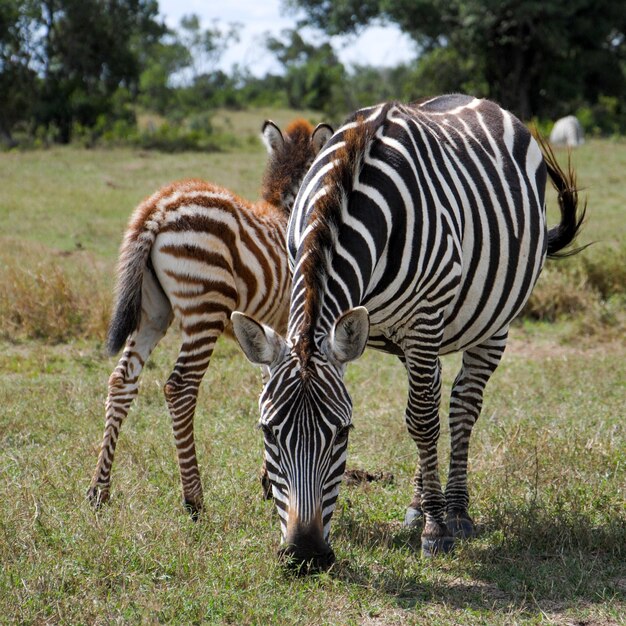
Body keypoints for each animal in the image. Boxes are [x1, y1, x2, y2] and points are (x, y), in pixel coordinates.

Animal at [88, 118, 334, 516]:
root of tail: (158, 206)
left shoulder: (270, 329)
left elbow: (268, 388)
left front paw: (269, 481)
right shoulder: (288, 324)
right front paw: (272, 480)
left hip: (152, 311)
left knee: (121, 381)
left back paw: (99, 489)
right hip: (206, 308)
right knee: (180, 388)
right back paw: (194, 498)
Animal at [230, 95, 584, 568]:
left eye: (343, 433)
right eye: (267, 431)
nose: (306, 554)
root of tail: (478, 100)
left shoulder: (425, 316)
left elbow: (424, 421)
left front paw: (437, 529)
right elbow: (418, 416)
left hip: (488, 324)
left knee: (456, 407)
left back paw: (455, 511)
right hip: (410, 338)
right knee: (430, 397)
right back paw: (420, 504)